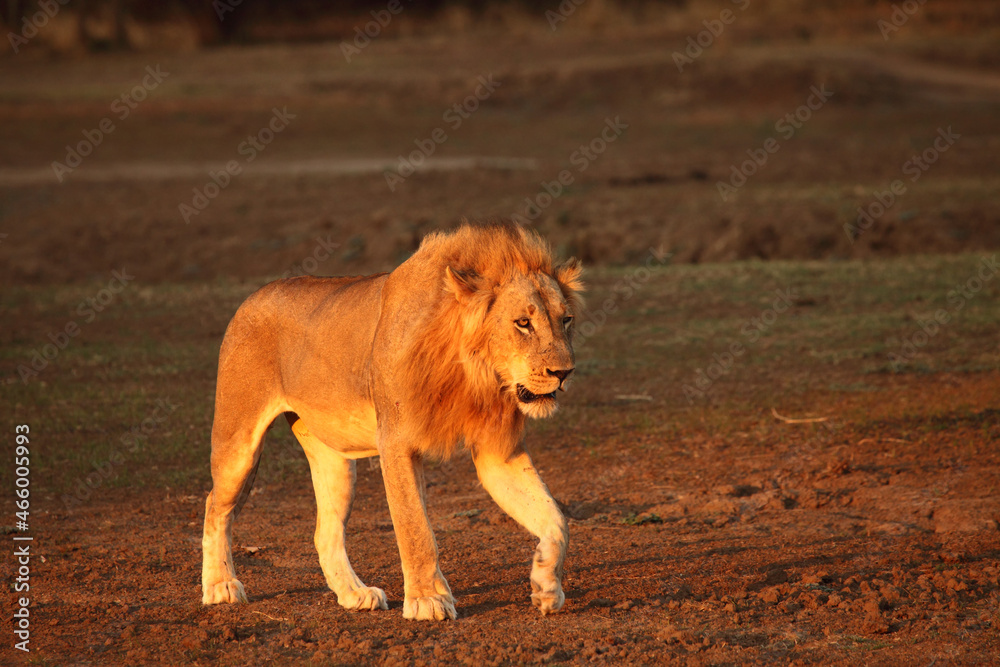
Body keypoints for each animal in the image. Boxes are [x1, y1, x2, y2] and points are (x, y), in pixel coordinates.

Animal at [201, 220, 584, 621]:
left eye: (566, 319)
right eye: (523, 323)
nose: (564, 373)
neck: (476, 375)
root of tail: (253, 296)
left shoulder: (498, 452)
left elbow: (556, 520)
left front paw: (546, 585)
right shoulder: (397, 441)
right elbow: (416, 528)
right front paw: (427, 600)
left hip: (335, 461)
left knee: (324, 532)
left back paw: (354, 594)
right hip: (239, 443)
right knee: (215, 505)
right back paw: (220, 586)